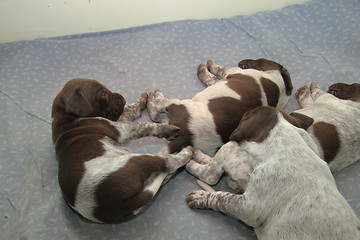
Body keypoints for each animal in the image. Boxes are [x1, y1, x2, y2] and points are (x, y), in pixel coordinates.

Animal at [51, 78, 193, 223]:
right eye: (103, 94)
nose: (123, 99)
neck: (66, 118)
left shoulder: (119, 120)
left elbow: (130, 109)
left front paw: (142, 100)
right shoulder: (121, 130)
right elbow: (144, 125)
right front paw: (167, 129)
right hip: (138, 160)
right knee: (168, 163)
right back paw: (186, 153)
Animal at [146, 58, 292, 156]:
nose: (241, 62)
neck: (276, 81)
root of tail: (187, 136)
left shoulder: (232, 70)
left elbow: (220, 68)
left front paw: (209, 66)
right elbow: (211, 78)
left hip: (179, 104)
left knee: (158, 109)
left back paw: (154, 98)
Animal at [186, 106, 360, 240]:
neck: (289, 146)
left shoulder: (248, 207)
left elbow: (221, 197)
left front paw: (200, 196)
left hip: (228, 151)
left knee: (211, 175)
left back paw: (190, 162)